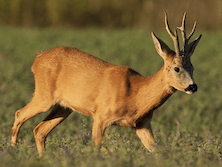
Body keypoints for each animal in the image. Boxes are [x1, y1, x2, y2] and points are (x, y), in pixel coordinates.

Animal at [10, 12, 201, 157]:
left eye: (192, 67)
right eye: (176, 68)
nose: (193, 87)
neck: (135, 95)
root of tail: (37, 57)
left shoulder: (142, 123)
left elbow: (158, 151)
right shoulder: (100, 114)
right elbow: (100, 147)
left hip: (64, 106)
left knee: (39, 130)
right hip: (44, 96)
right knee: (19, 114)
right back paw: (12, 152)